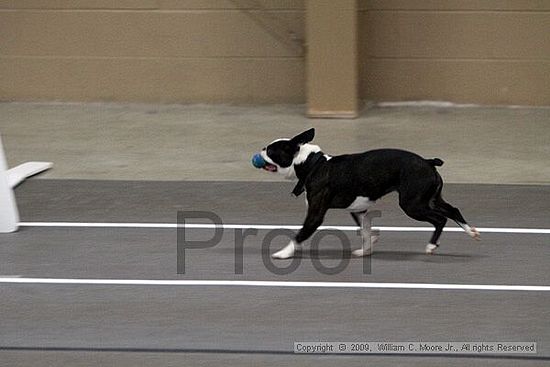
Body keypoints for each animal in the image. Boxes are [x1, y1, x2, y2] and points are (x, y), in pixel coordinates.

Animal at [258, 128, 478, 260]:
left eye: (270, 150)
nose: (260, 149)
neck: (313, 164)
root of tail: (428, 161)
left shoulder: (315, 214)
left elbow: (300, 234)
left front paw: (284, 252)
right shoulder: (359, 210)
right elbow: (365, 231)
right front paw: (366, 249)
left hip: (412, 204)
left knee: (440, 218)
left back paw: (431, 246)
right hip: (430, 198)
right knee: (452, 210)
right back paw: (471, 231)